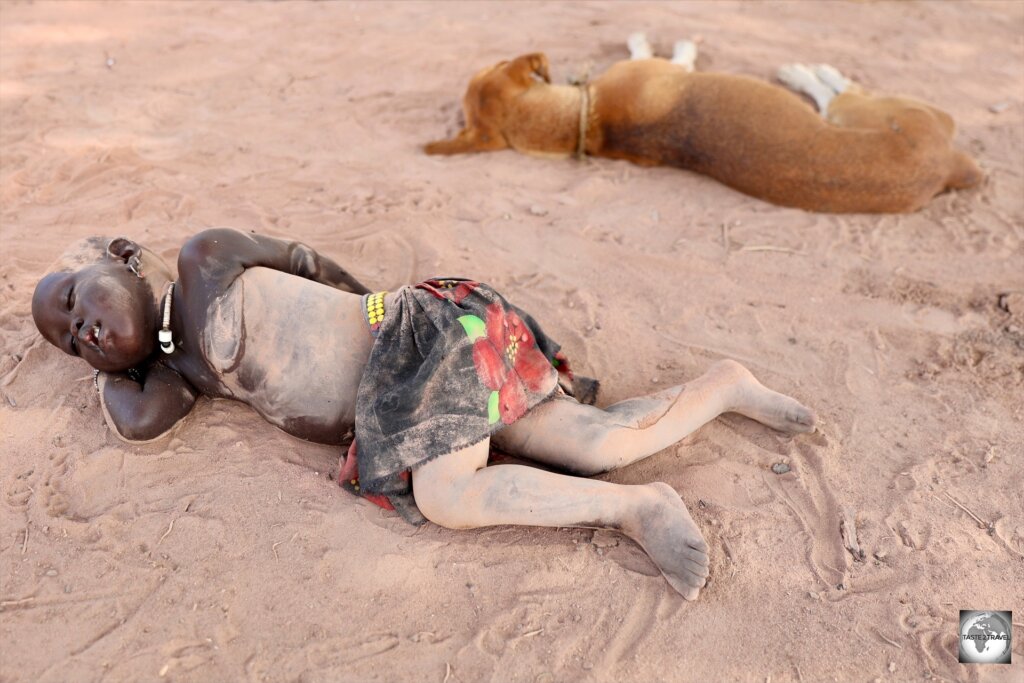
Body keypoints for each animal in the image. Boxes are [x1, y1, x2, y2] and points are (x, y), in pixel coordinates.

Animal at [425, 36, 983, 211]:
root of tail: (947, 168)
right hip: (880, 112)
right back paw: (806, 73)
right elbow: (668, 54)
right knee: (840, 95)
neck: (584, 120)